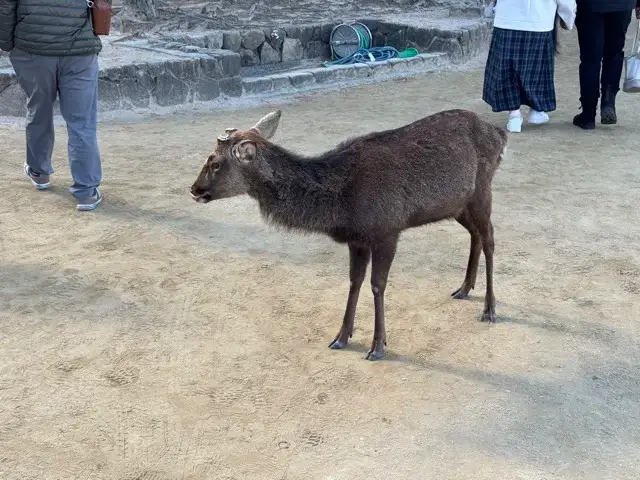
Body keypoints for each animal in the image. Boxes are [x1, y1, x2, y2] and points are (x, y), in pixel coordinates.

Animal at [190, 109, 507, 360]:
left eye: (215, 162)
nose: (194, 189)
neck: (342, 205)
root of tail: (499, 134)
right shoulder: (358, 239)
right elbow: (354, 282)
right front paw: (341, 337)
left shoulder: (388, 229)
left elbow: (377, 285)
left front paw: (377, 346)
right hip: (457, 203)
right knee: (476, 235)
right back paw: (464, 288)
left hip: (482, 189)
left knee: (491, 238)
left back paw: (489, 308)